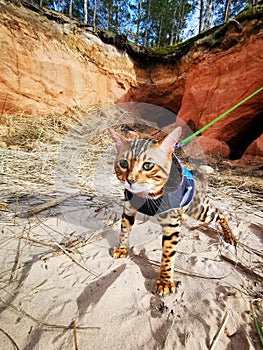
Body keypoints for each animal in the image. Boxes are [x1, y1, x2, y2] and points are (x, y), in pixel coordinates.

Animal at [109, 126, 237, 296]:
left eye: (148, 166)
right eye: (123, 163)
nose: (130, 180)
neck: (145, 195)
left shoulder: (171, 225)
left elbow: (168, 254)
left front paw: (164, 281)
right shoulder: (129, 210)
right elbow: (124, 231)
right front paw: (121, 249)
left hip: (200, 210)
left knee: (220, 213)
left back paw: (230, 236)